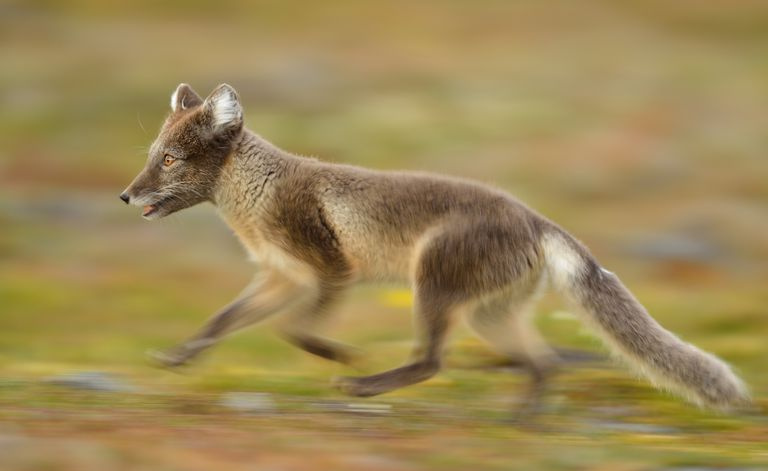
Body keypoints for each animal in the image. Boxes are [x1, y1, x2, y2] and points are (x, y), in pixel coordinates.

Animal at [121, 83, 749, 413]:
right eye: (153, 155)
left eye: (169, 160)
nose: (125, 195)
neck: (257, 195)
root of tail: (535, 218)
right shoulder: (281, 277)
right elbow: (222, 321)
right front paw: (178, 357)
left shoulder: (331, 270)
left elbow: (294, 332)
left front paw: (344, 357)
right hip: (489, 316)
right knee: (541, 362)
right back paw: (523, 422)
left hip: (434, 288)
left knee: (432, 361)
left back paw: (367, 386)